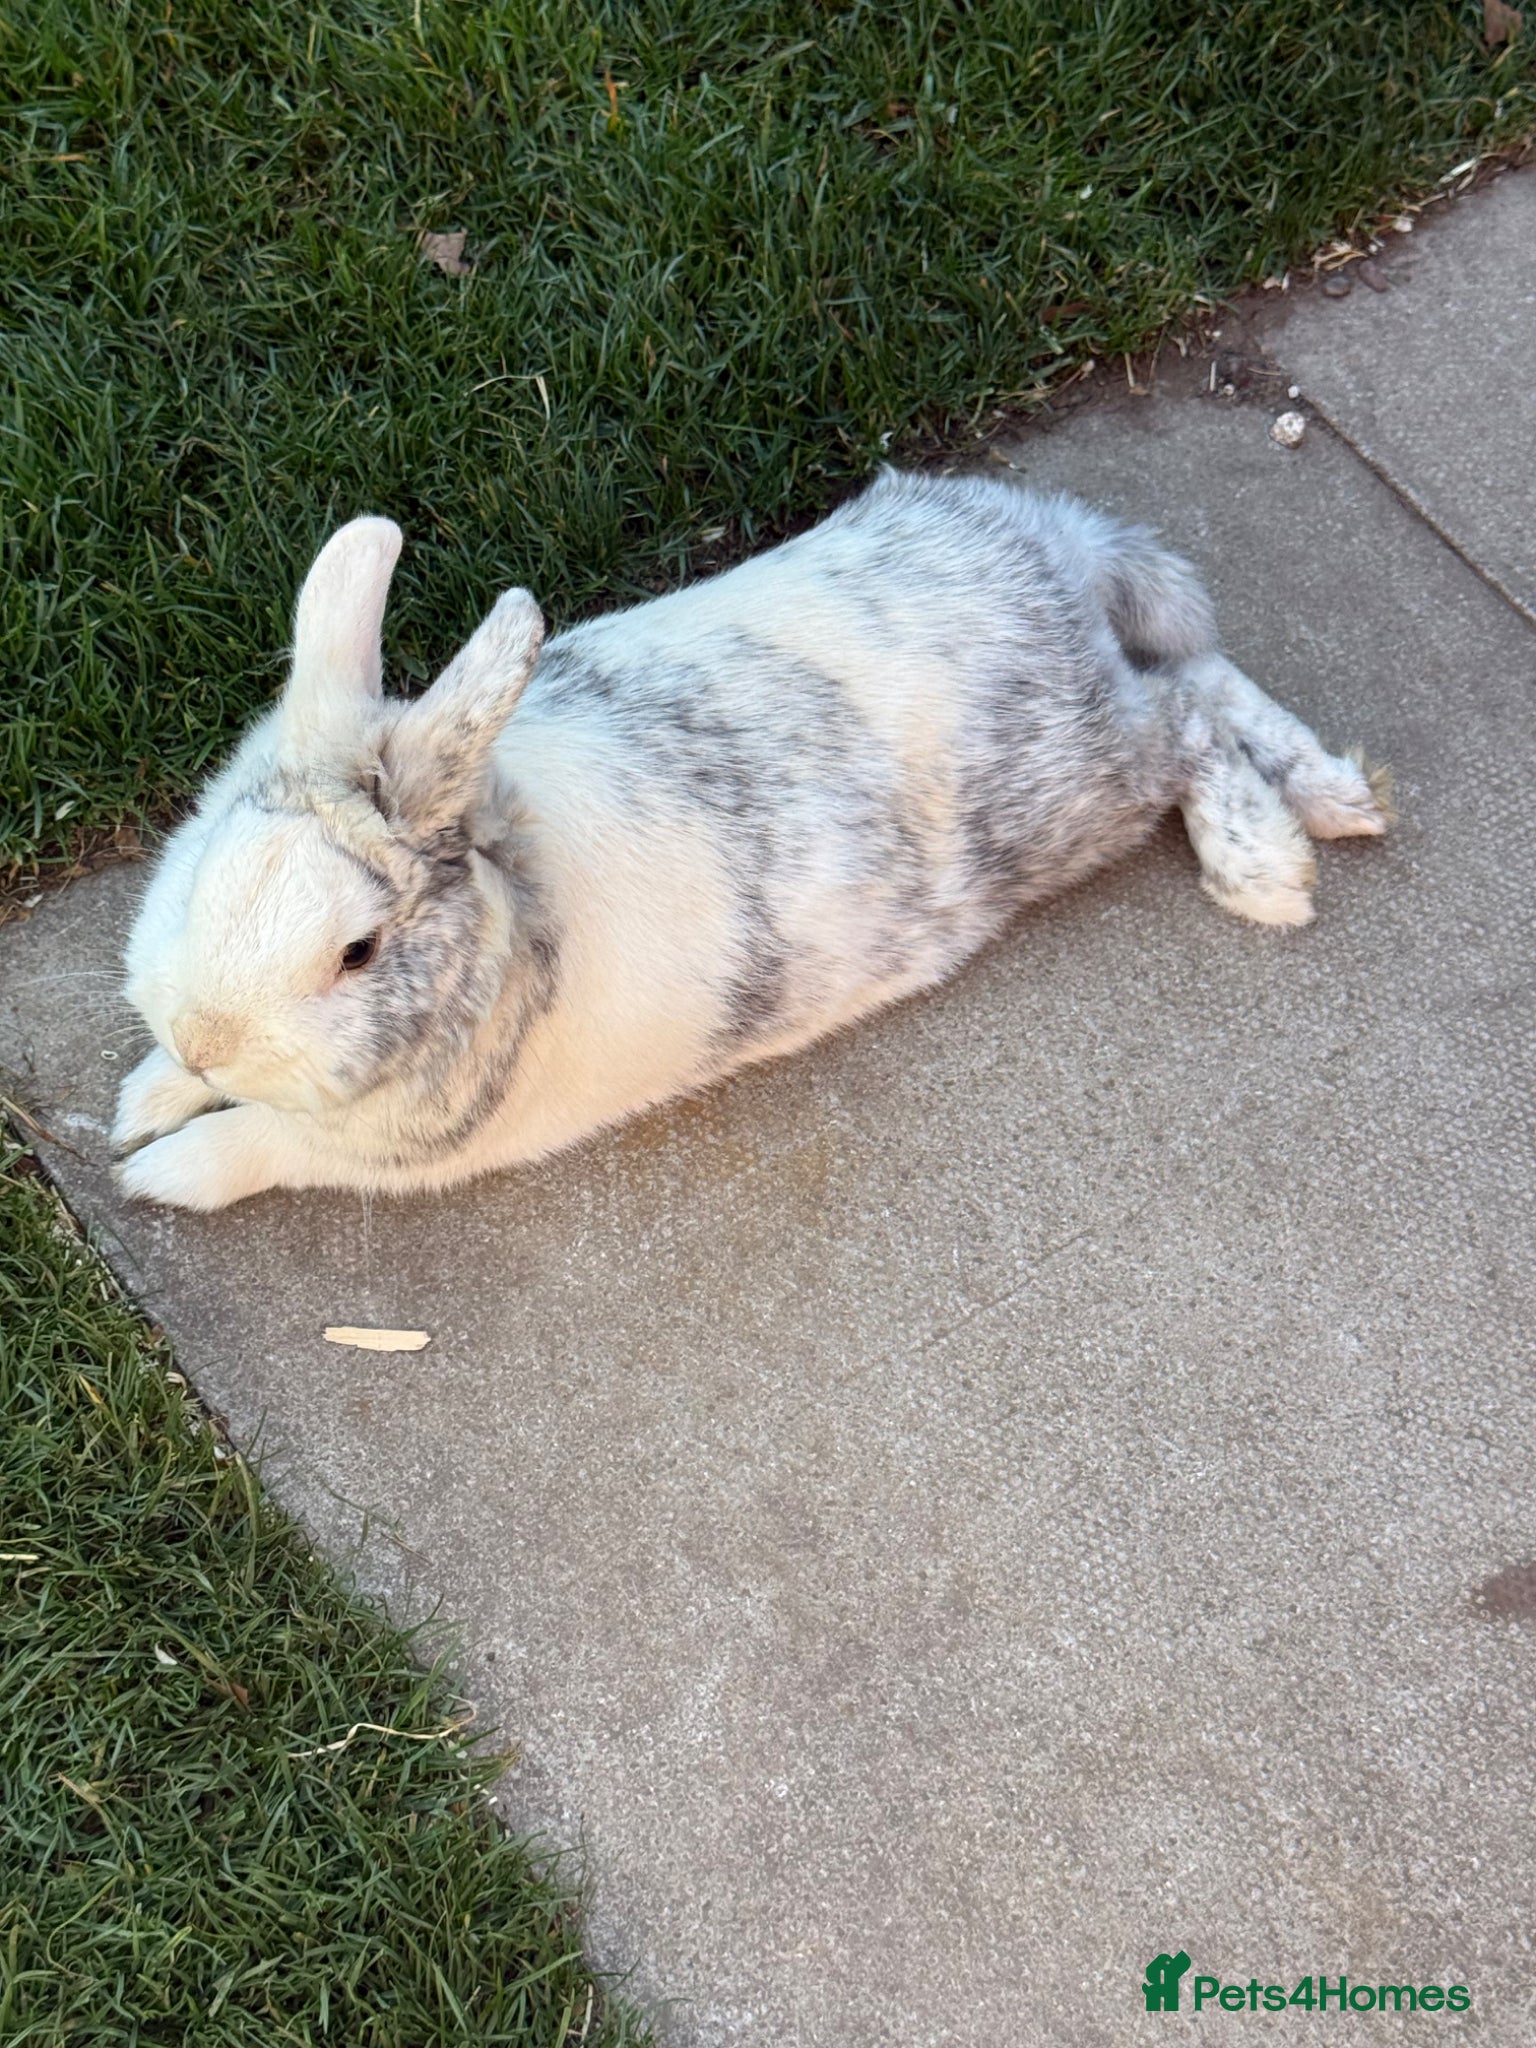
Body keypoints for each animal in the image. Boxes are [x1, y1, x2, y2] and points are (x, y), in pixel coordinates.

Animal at [112, 469, 1388, 1210]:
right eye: (204, 867)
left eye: (360, 951)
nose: (209, 1034)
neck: (514, 884)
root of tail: (1049, 547)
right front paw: (143, 1100)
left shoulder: (383, 1150)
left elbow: (255, 1146)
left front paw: (153, 1172)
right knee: (1204, 675)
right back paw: (1338, 797)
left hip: (1083, 783)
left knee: (1188, 717)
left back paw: (1270, 863)